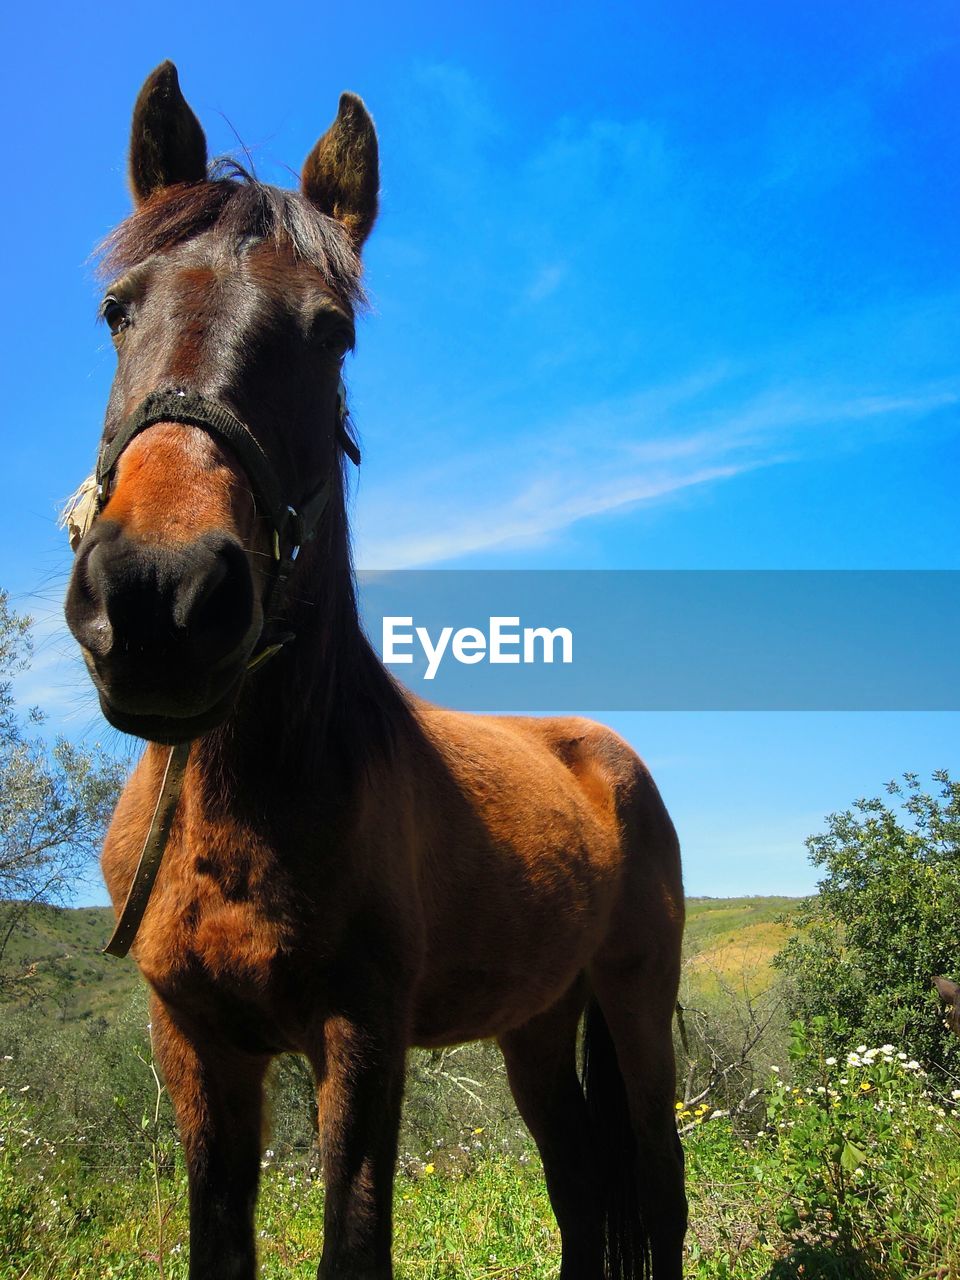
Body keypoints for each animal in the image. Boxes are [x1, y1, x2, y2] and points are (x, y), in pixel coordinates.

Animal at [64, 64, 686, 1280]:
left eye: (333, 332)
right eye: (117, 311)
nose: (159, 597)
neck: (242, 807)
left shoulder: (360, 1035)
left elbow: (354, 1242)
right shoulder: (196, 1040)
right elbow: (220, 1240)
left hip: (636, 1002)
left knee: (659, 1183)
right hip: (537, 1022)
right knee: (580, 1184)